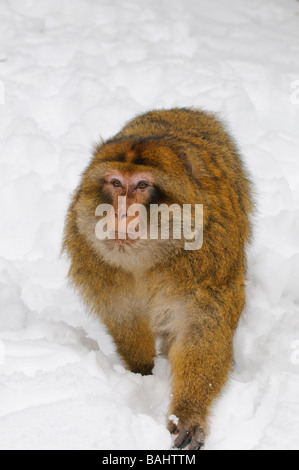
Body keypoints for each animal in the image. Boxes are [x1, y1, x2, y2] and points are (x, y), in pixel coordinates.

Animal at [62, 108, 253, 450]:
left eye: (141, 184)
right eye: (115, 182)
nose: (121, 212)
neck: (153, 258)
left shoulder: (209, 257)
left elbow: (200, 330)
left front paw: (188, 413)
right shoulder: (92, 255)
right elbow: (124, 314)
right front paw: (141, 372)